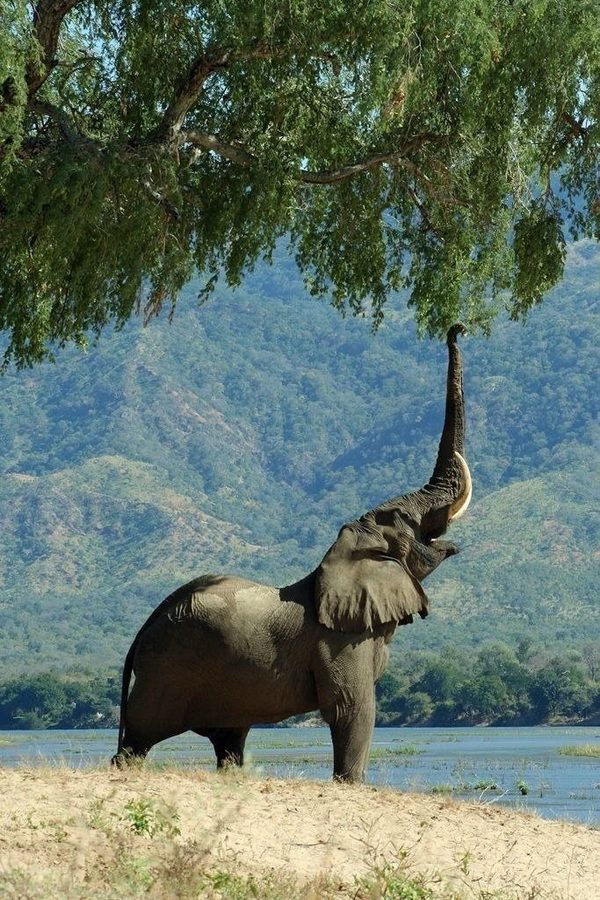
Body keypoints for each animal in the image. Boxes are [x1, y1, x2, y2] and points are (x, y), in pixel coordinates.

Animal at [112, 324, 471, 783]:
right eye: (407, 521)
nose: (456, 328)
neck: (342, 556)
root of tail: (141, 632)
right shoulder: (339, 641)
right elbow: (353, 710)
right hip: (166, 671)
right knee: (139, 739)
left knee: (229, 741)